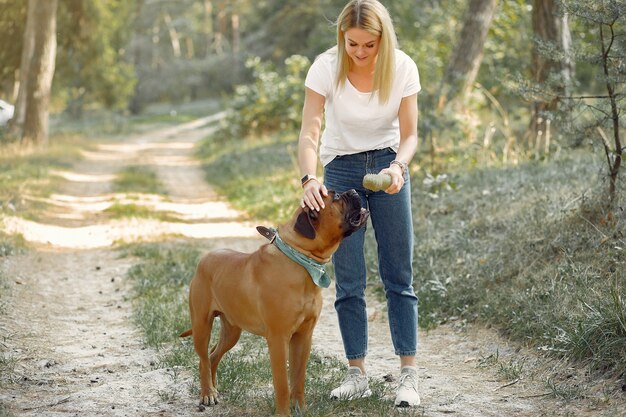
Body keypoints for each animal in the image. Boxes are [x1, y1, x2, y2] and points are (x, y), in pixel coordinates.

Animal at [179, 189, 366, 416]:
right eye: (336, 197)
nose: (354, 191)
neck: (301, 259)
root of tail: (205, 258)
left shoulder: (303, 337)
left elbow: (298, 378)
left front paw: (300, 408)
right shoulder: (278, 339)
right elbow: (283, 383)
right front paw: (284, 412)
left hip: (232, 330)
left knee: (213, 355)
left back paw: (214, 389)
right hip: (201, 326)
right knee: (203, 359)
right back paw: (207, 392)